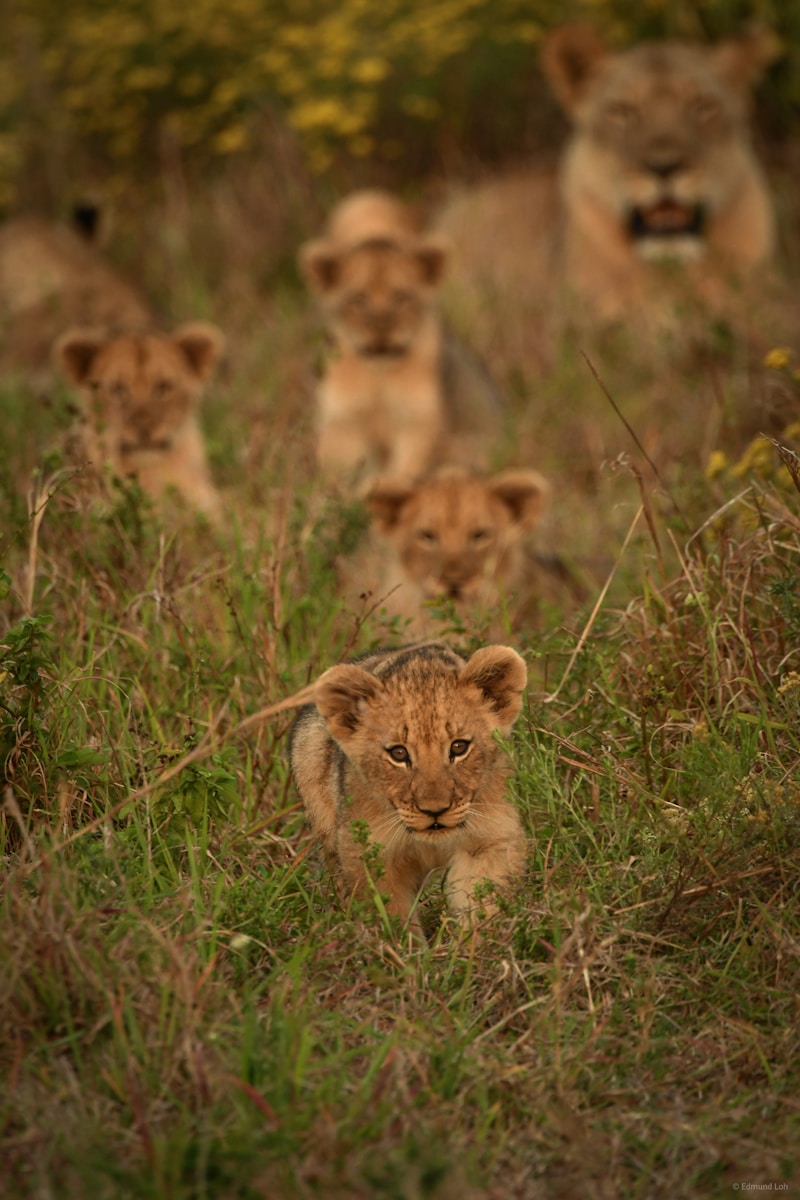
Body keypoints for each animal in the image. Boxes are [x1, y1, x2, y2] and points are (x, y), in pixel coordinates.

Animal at [289, 641, 528, 936]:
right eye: (399, 753)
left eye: (459, 747)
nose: (435, 810)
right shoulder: (370, 856)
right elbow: (390, 920)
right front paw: (404, 949)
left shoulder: (489, 841)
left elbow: (483, 906)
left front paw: (478, 945)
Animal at [299, 189, 500, 486]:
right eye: (359, 299)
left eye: (400, 297)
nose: (381, 328)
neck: (379, 371)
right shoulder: (344, 422)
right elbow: (341, 468)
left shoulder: (420, 421)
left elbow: (405, 469)